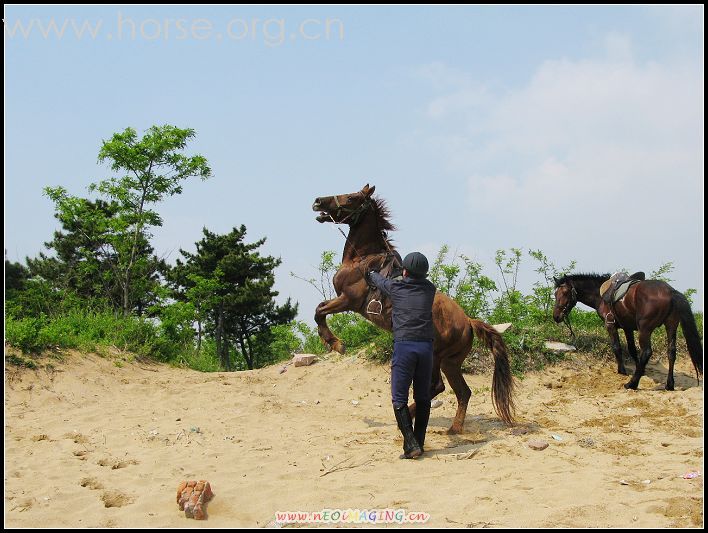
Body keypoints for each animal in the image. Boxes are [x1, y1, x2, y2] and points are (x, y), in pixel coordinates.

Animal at [312, 183, 516, 428]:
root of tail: (468, 322)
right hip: (450, 363)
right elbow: (320, 308)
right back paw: (453, 428)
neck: (362, 259)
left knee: (438, 387)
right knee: (462, 392)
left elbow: (319, 311)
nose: (318, 201)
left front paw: (336, 343)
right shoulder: (344, 300)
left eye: (352, 197)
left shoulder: (348, 300)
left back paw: (411, 416)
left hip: (436, 357)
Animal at [552, 272, 704, 388]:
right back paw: (669, 384)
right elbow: (632, 349)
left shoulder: (610, 324)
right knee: (671, 352)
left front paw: (622, 370)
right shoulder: (628, 327)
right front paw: (640, 370)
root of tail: (671, 292)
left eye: (565, 292)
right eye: (555, 293)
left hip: (645, 329)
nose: (556, 316)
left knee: (646, 352)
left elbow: (617, 347)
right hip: (671, 326)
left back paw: (632, 384)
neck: (600, 294)